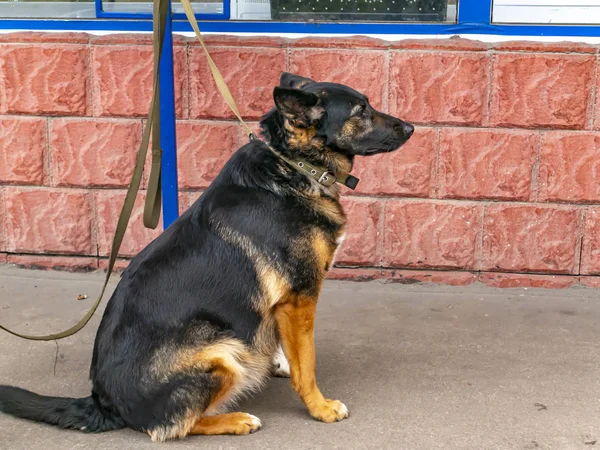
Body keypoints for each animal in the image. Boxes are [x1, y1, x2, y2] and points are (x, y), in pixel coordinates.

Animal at [0, 72, 412, 442]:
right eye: (361, 110)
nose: (410, 128)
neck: (292, 164)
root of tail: (104, 402)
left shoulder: (284, 303)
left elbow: (288, 347)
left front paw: (280, 361)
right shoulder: (300, 299)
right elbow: (306, 364)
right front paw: (320, 407)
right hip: (224, 351)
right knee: (171, 428)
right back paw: (237, 420)